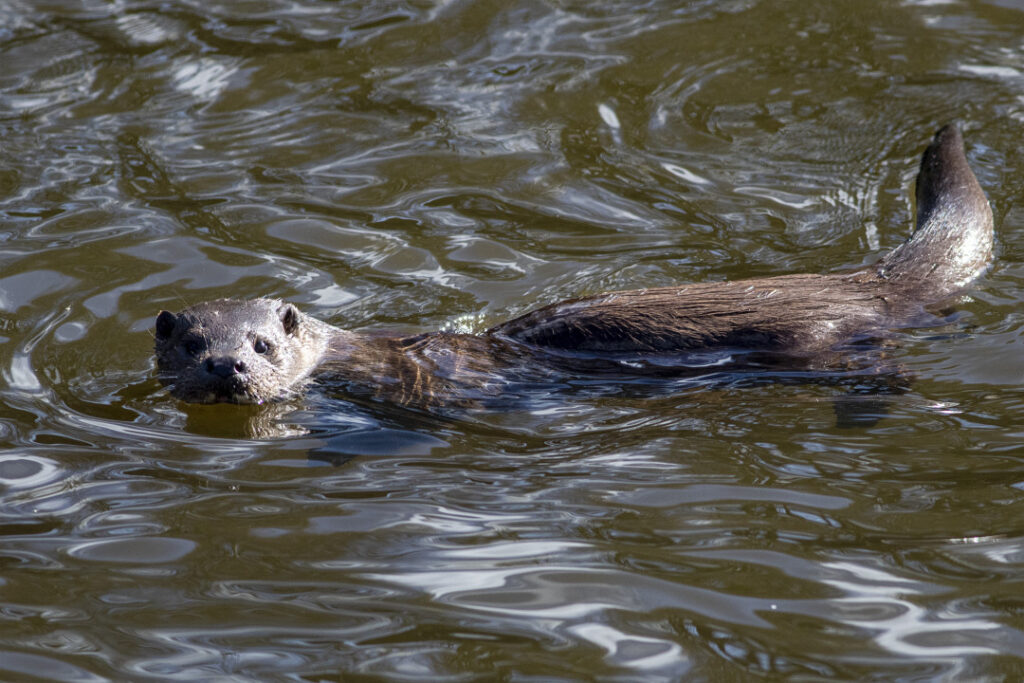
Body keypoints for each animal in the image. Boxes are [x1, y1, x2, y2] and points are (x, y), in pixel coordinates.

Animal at [151, 125, 991, 409]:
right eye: (191, 344)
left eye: (263, 343)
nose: (227, 367)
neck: (360, 353)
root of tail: (862, 278)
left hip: (816, 338)